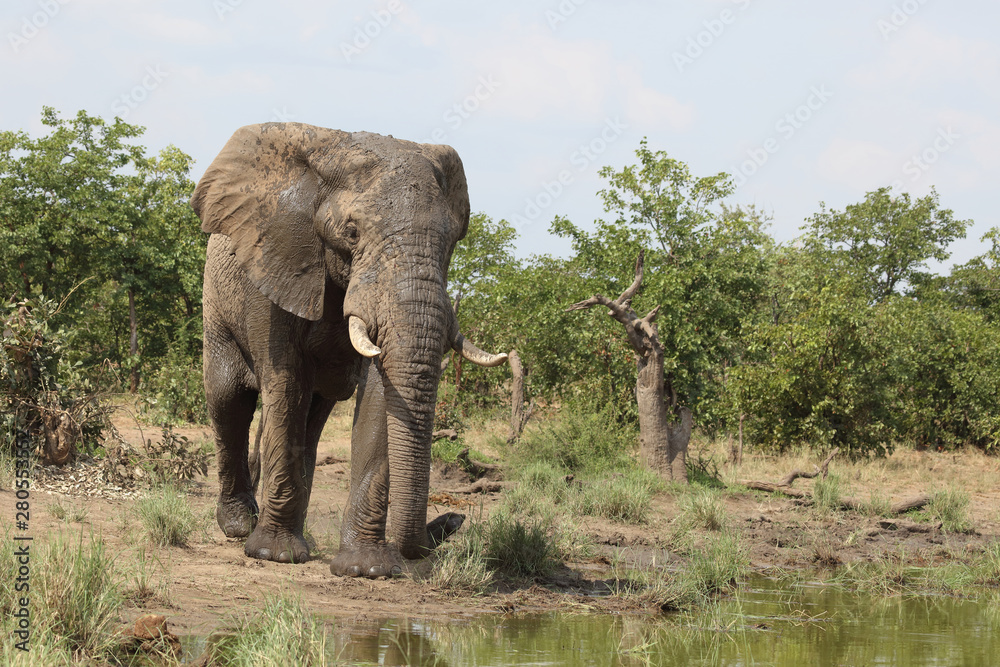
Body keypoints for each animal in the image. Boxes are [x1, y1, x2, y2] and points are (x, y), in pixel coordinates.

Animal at [190, 122, 506, 578]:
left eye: (452, 242)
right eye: (352, 232)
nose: (453, 520)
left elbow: (380, 393)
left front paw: (365, 568)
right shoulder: (276, 264)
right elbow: (286, 381)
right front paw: (275, 555)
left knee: (311, 417)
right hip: (215, 300)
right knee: (230, 398)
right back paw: (240, 526)